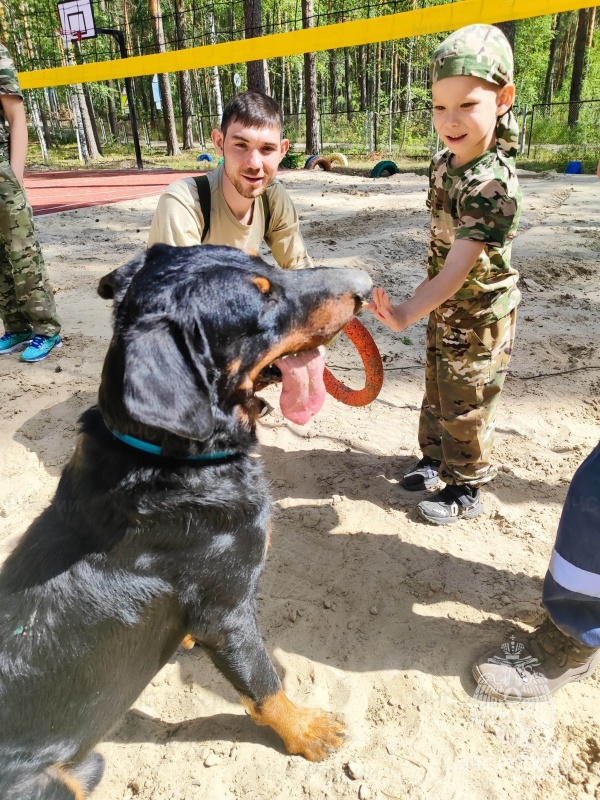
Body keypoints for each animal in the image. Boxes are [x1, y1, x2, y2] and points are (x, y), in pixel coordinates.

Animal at [0, 245, 372, 800]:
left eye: (267, 263)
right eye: (262, 304)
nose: (367, 284)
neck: (168, 459)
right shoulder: (227, 612)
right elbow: (264, 684)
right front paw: (306, 732)